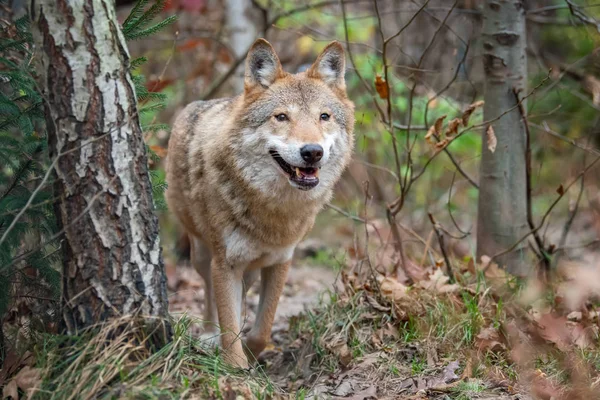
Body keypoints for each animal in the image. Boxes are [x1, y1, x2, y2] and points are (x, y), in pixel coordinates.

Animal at [165, 38, 352, 368]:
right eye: (281, 117)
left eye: (324, 117)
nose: (312, 152)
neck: (273, 209)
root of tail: (197, 103)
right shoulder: (225, 263)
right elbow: (228, 322)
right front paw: (235, 367)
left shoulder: (281, 261)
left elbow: (262, 330)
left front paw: (249, 352)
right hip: (202, 253)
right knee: (210, 294)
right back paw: (209, 335)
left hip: (249, 270)